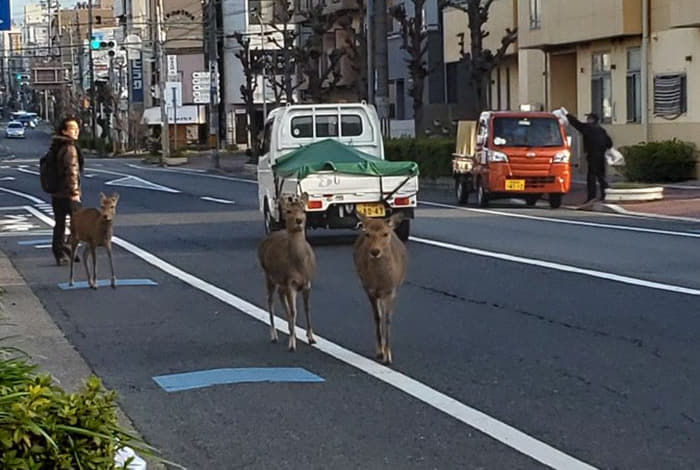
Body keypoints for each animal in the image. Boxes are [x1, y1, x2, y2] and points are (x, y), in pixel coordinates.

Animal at [258, 193, 318, 350]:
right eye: (288, 211)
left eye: (304, 210)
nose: (299, 221)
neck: (299, 265)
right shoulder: (291, 282)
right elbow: (293, 311)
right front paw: (292, 344)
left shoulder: (307, 282)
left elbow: (307, 308)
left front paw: (311, 337)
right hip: (268, 275)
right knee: (270, 300)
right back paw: (274, 335)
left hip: (281, 282)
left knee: (281, 296)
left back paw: (292, 332)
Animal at [352, 212, 408, 364]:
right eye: (368, 234)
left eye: (385, 234)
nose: (375, 251)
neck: (381, 280)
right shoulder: (370, 289)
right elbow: (377, 317)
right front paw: (380, 351)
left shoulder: (392, 290)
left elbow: (388, 318)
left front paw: (388, 355)